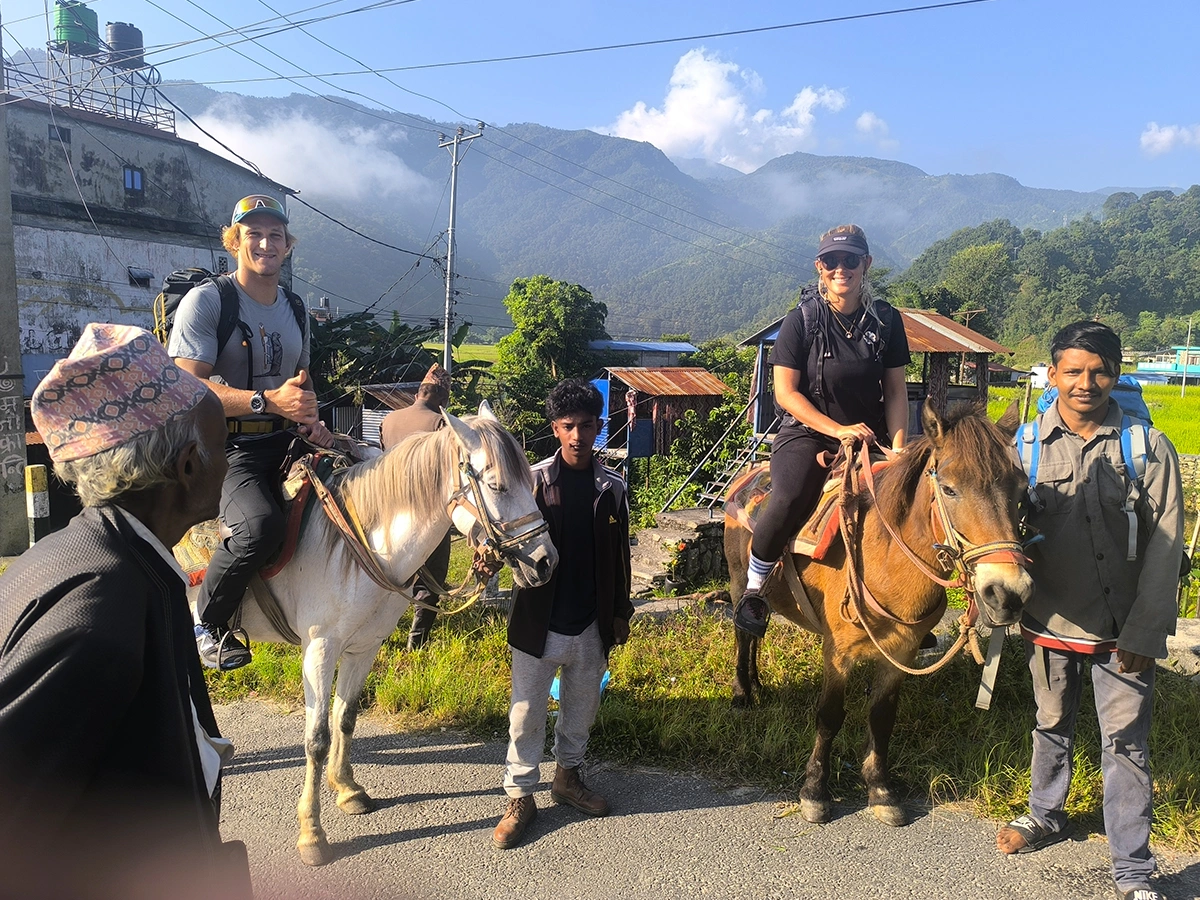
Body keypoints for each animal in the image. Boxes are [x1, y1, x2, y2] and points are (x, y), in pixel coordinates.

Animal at [204, 406, 558, 866]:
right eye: (497, 485)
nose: (546, 561)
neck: (357, 543)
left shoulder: (363, 647)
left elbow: (346, 717)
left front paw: (347, 789)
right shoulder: (319, 650)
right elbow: (316, 739)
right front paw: (312, 833)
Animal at [724, 401, 1033, 826]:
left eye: (1020, 489)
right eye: (949, 488)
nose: (1008, 593)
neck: (883, 557)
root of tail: (745, 479)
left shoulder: (901, 652)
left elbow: (882, 716)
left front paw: (880, 788)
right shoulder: (837, 652)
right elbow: (829, 715)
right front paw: (814, 789)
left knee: (757, 630)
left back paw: (757, 683)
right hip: (740, 580)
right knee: (744, 631)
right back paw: (742, 691)